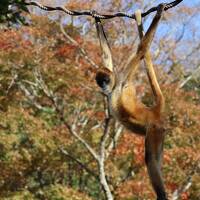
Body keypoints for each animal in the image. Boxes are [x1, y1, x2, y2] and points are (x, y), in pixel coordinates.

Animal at [94, 3, 166, 200]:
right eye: (99, 81)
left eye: (105, 80)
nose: (103, 85)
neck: (113, 90)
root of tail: (153, 112)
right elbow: (107, 57)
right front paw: (96, 19)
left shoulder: (122, 80)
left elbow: (141, 51)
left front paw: (159, 13)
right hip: (160, 133)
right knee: (156, 161)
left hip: (154, 129)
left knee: (150, 159)